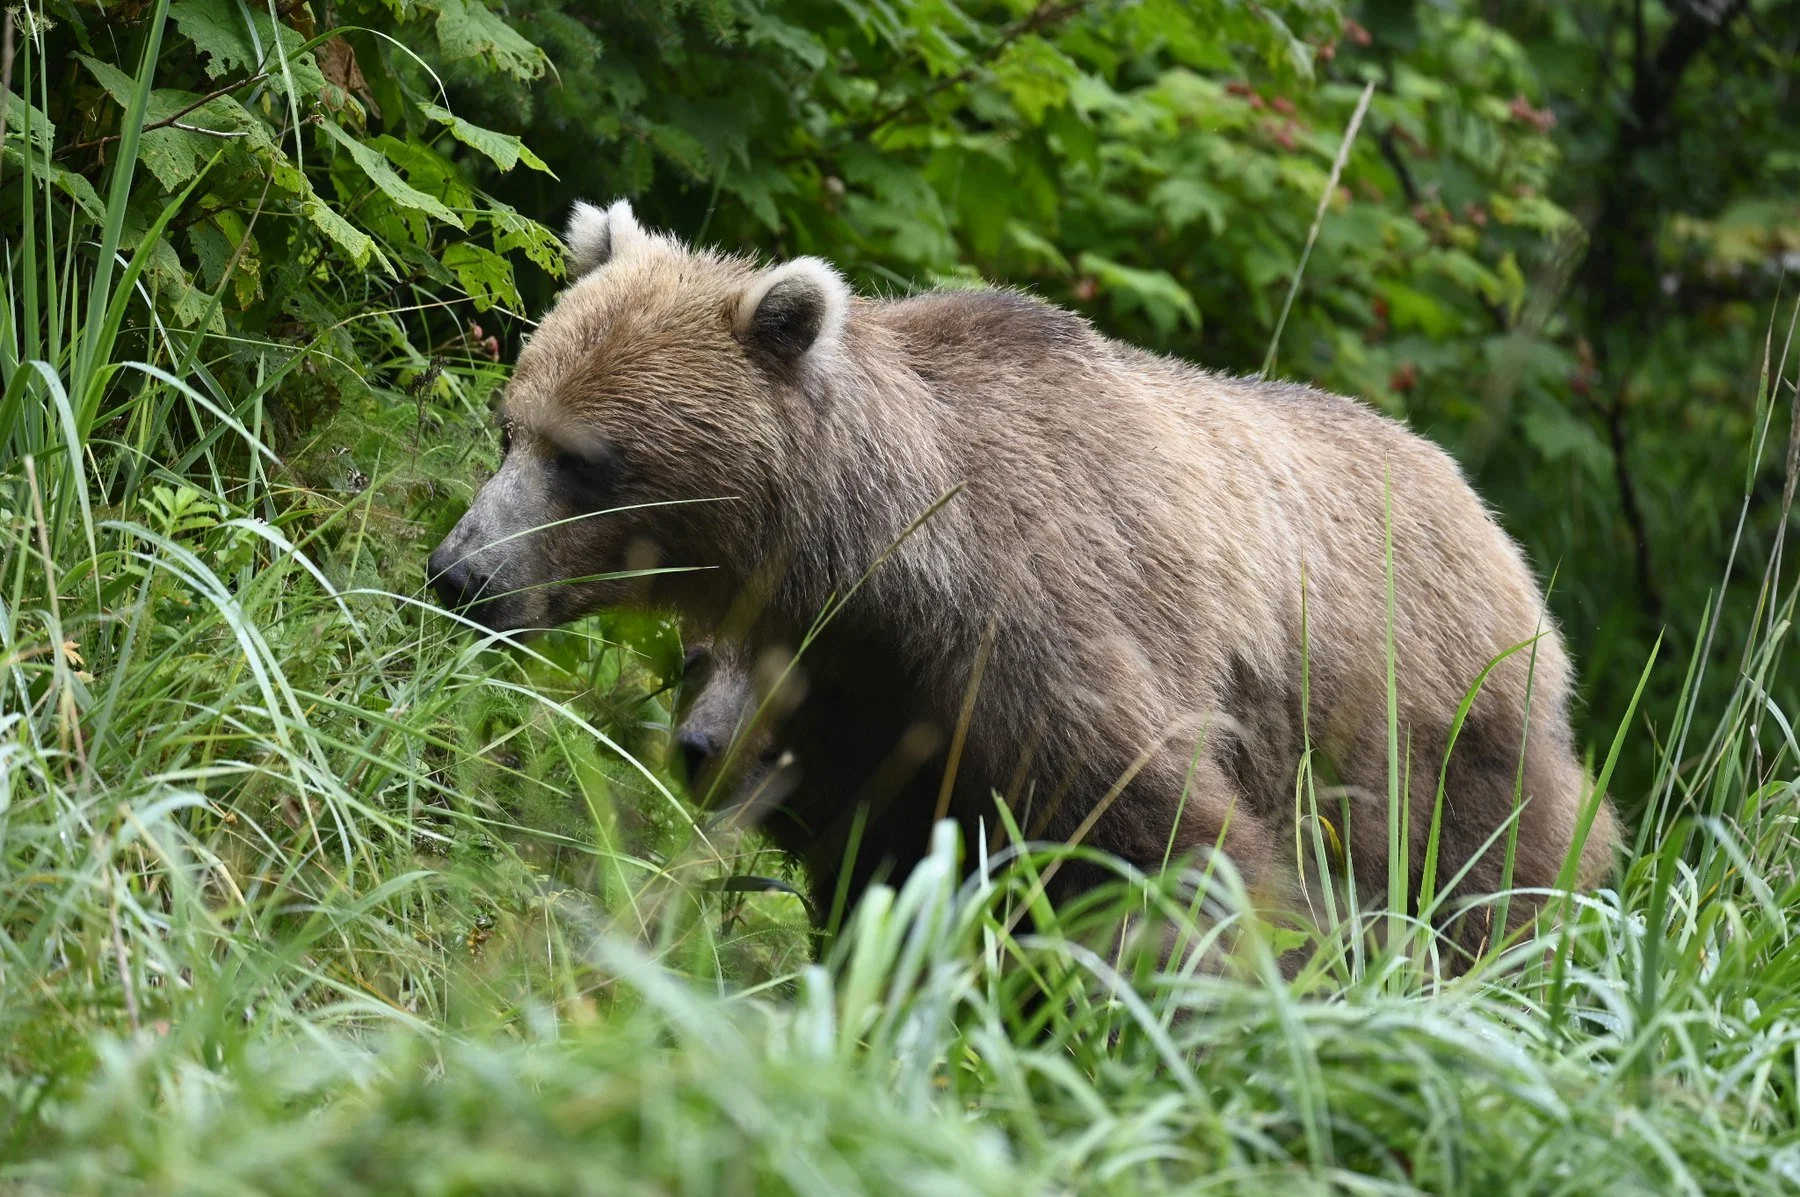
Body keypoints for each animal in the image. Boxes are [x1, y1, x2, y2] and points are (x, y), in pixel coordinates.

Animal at [427, 198, 1618, 956]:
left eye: (587, 458)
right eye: (510, 426)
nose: (461, 572)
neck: (892, 560)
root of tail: (1484, 512)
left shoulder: (1044, 638)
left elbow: (1169, 849)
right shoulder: (874, 719)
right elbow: (883, 886)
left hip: (1436, 730)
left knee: (1492, 875)